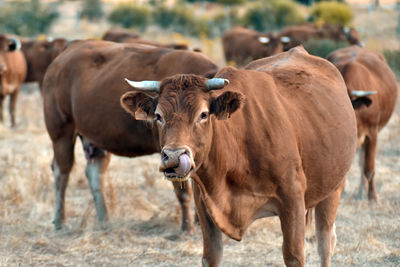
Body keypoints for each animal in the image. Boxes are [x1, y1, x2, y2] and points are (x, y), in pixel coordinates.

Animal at [43, 39, 219, 234]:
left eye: (203, 114)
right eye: (159, 116)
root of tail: (70, 49)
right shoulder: (169, 153)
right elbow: (184, 191)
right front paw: (187, 228)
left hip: (95, 139)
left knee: (95, 173)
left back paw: (105, 220)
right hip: (61, 131)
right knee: (61, 171)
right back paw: (60, 221)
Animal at [120, 46, 358, 267]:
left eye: (203, 114)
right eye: (158, 116)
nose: (173, 157)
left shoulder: (293, 198)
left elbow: (294, 256)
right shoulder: (204, 203)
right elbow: (211, 256)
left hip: (333, 187)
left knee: (325, 242)